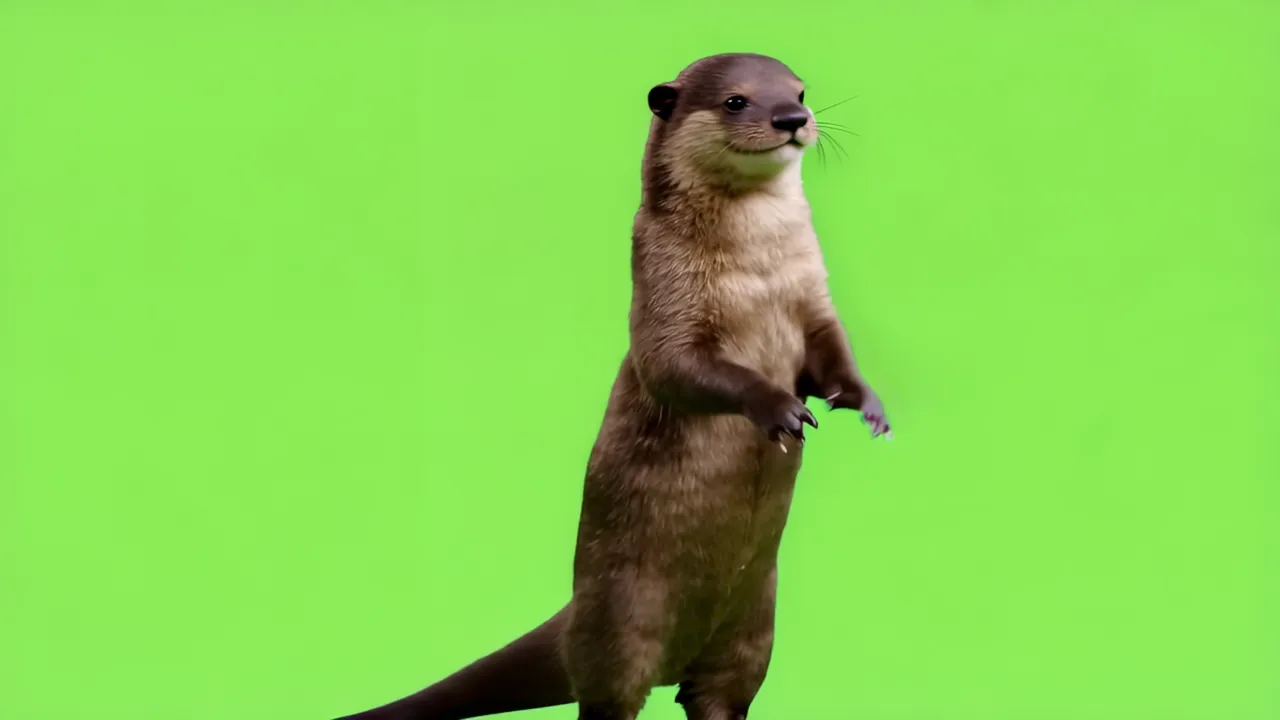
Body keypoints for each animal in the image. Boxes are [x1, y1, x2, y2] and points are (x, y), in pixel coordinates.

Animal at [334, 52, 891, 720]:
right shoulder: (665, 308)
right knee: (609, 693)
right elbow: (680, 371)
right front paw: (777, 408)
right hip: (622, 619)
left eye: (802, 92)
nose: (792, 119)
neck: (759, 276)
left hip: (754, 626)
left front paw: (868, 405)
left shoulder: (813, 303)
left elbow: (834, 358)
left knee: (719, 693)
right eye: (736, 101)